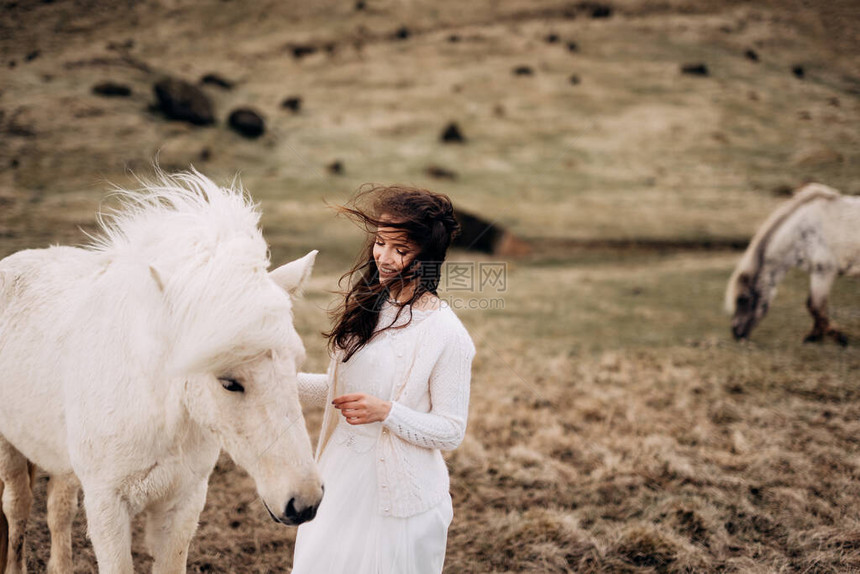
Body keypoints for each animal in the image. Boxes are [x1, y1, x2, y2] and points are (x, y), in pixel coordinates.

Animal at [0, 169, 322, 572]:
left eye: (296, 365)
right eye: (229, 382)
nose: (305, 502)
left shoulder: (183, 504)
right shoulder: (107, 508)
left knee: (58, 511)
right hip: (9, 447)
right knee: (18, 508)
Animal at [724, 184, 860, 344]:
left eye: (743, 299)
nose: (736, 333)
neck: (800, 233)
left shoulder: (823, 271)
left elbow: (816, 306)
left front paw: (837, 336)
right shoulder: (817, 272)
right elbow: (813, 305)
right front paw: (814, 335)